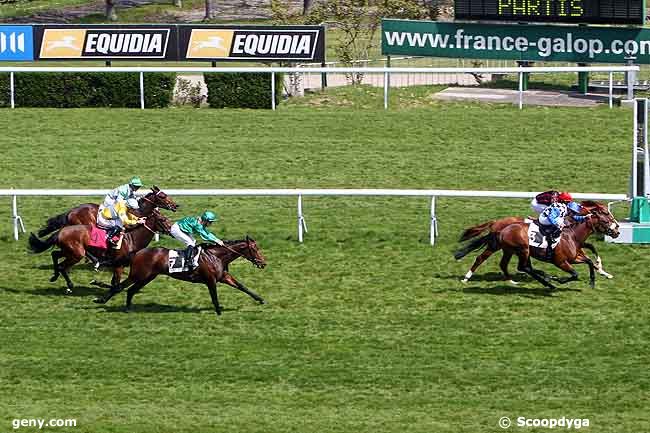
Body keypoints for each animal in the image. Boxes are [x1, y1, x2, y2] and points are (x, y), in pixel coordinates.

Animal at [27, 208, 171, 296]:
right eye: (163, 220)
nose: (171, 229)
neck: (131, 238)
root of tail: (61, 231)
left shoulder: (119, 265)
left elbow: (114, 283)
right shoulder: (118, 265)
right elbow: (115, 283)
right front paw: (99, 284)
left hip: (70, 251)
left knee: (55, 255)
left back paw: (55, 276)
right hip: (77, 254)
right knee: (63, 266)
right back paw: (69, 285)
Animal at [92, 238, 266, 316]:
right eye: (255, 249)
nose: (263, 263)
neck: (216, 256)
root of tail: (137, 252)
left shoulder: (223, 276)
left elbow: (242, 286)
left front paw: (260, 299)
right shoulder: (210, 280)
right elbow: (214, 296)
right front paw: (218, 312)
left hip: (148, 277)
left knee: (130, 290)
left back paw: (128, 308)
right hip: (138, 274)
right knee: (119, 287)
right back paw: (101, 300)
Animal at [454, 202, 620, 290]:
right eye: (605, 216)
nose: (617, 230)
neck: (571, 232)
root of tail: (497, 224)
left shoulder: (575, 255)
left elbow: (590, 258)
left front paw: (600, 275)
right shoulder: (561, 261)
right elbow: (577, 270)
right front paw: (557, 279)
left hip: (510, 250)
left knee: (507, 265)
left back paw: (514, 280)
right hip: (511, 248)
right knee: (482, 258)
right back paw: (467, 278)